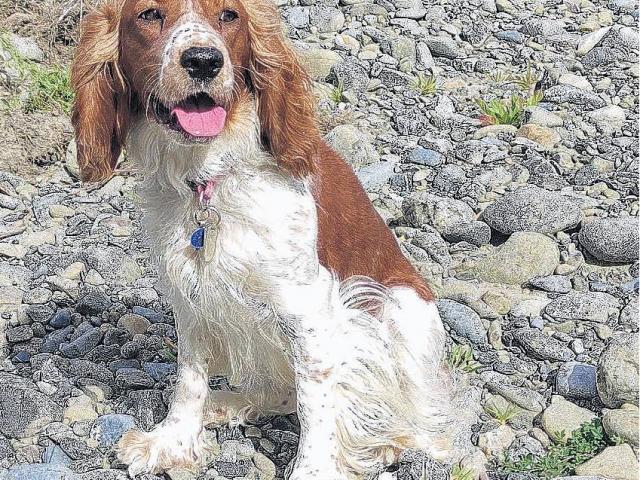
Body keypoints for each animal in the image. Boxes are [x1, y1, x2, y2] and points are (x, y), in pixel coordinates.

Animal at [71, 0, 470, 476]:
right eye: (149, 15)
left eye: (229, 16)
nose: (204, 60)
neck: (212, 175)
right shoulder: (191, 296)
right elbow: (189, 377)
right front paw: (173, 440)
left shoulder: (308, 308)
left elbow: (317, 404)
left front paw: (314, 470)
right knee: (279, 394)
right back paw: (227, 403)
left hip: (398, 313)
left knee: (424, 420)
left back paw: (387, 443)